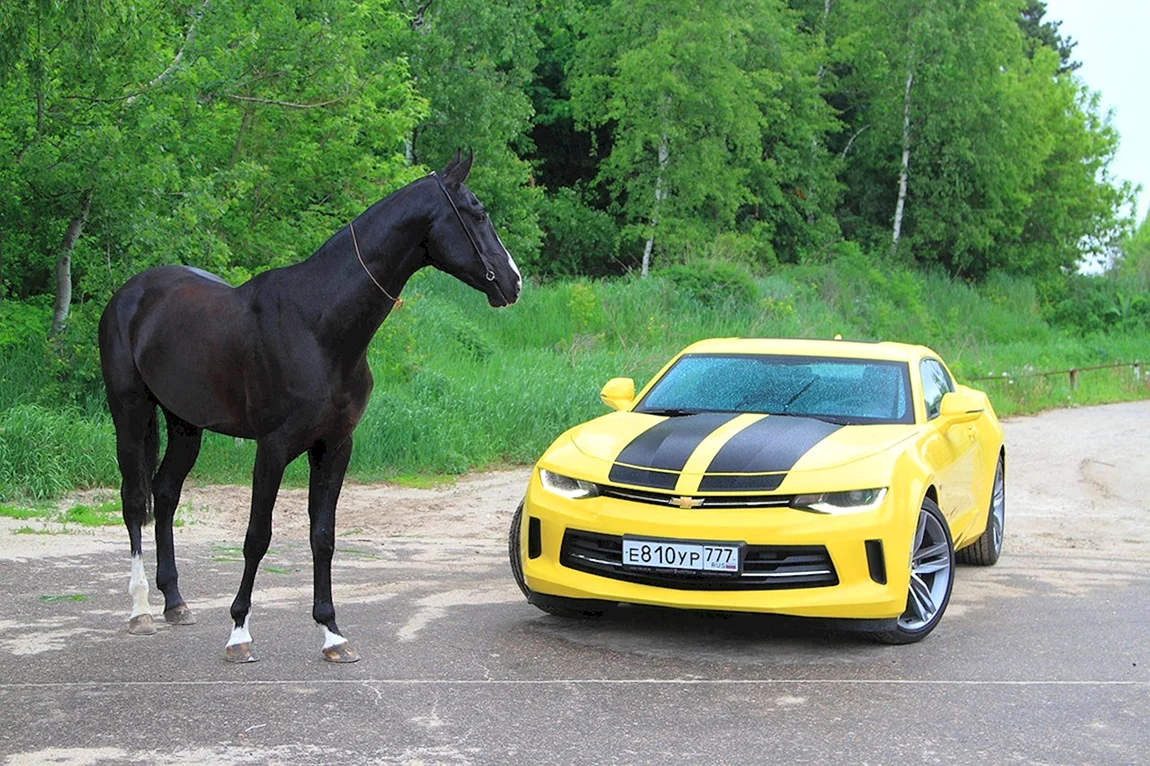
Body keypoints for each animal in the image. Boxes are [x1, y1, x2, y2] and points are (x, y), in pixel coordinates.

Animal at [98, 151, 522, 657]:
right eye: (477, 214)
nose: (514, 282)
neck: (318, 325)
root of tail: (130, 293)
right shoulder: (273, 448)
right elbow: (257, 536)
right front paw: (239, 632)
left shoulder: (335, 446)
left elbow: (323, 536)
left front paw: (332, 632)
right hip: (129, 412)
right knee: (134, 499)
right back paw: (141, 609)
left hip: (185, 424)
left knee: (164, 494)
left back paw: (175, 602)